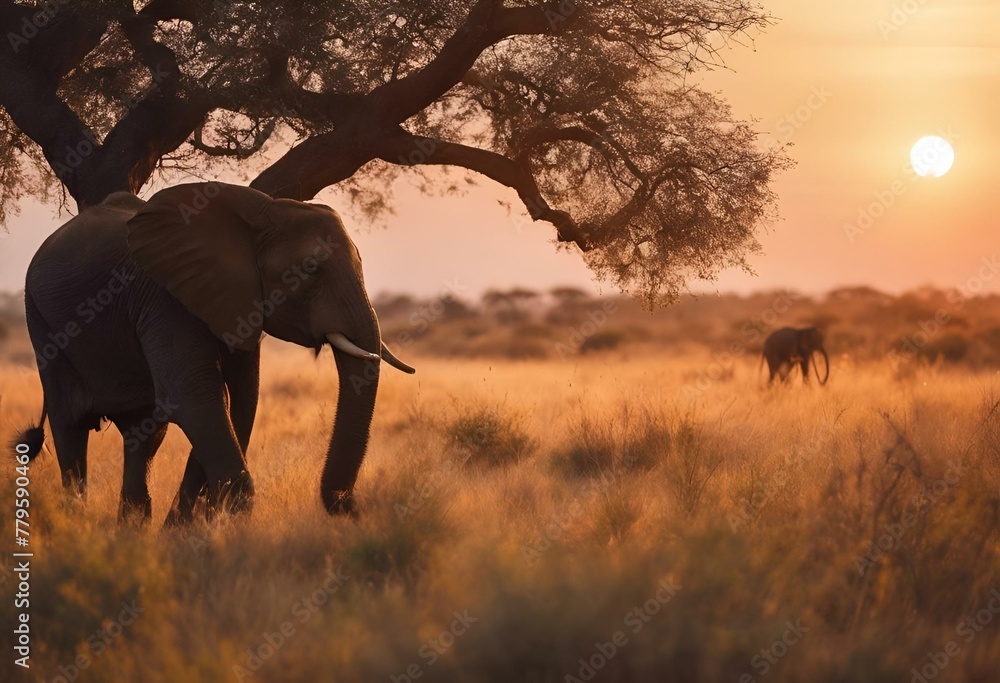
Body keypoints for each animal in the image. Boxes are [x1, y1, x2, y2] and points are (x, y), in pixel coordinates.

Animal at [16, 182, 414, 522]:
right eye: (311, 269)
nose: (351, 508)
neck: (263, 212)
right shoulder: (165, 295)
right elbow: (196, 396)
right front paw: (228, 527)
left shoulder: (236, 298)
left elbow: (239, 400)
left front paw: (192, 528)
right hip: (39, 318)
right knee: (70, 424)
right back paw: (76, 526)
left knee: (142, 434)